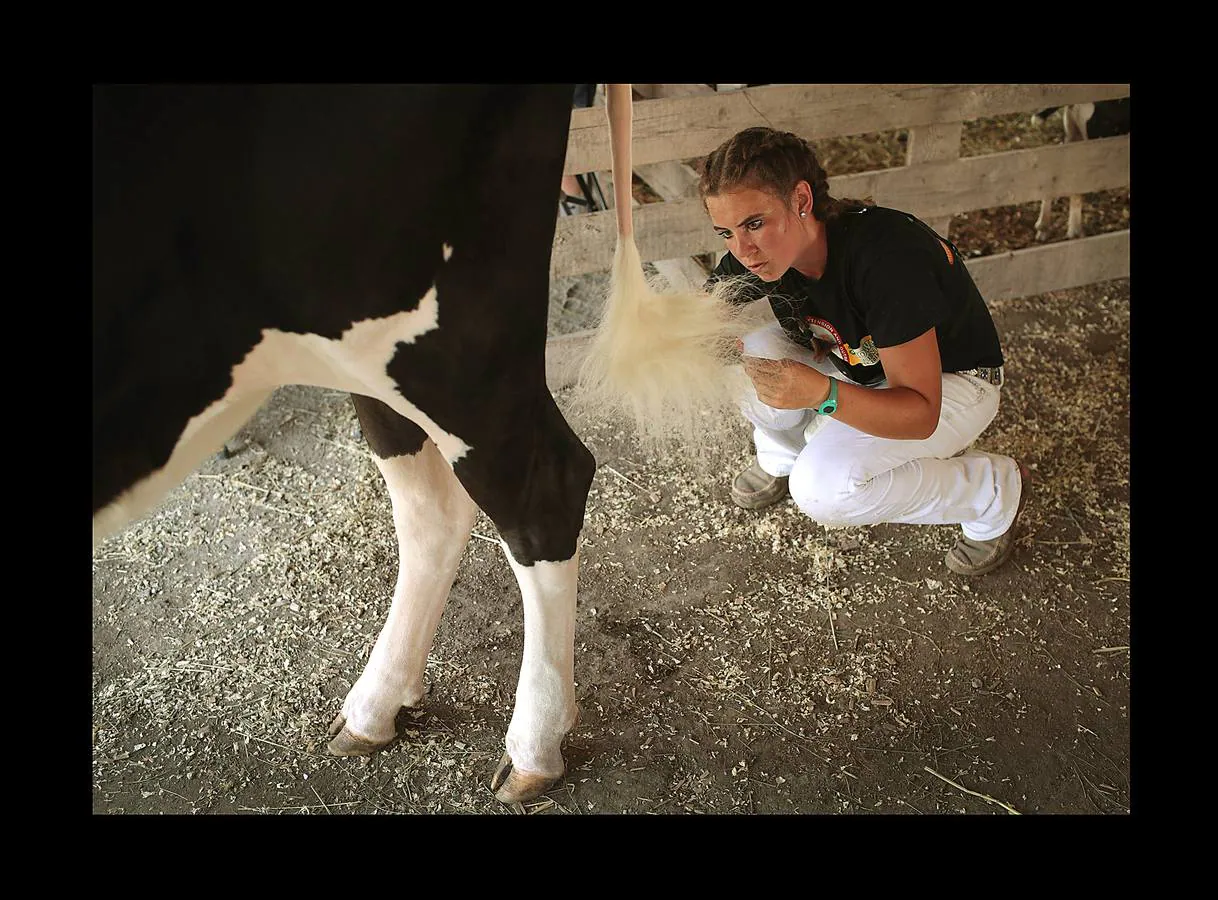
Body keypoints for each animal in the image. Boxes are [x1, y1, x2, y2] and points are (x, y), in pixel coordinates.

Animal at [92, 82, 596, 803]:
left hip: (441, 327)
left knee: (545, 487)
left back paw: (533, 745)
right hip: (358, 350)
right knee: (433, 507)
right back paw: (376, 706)